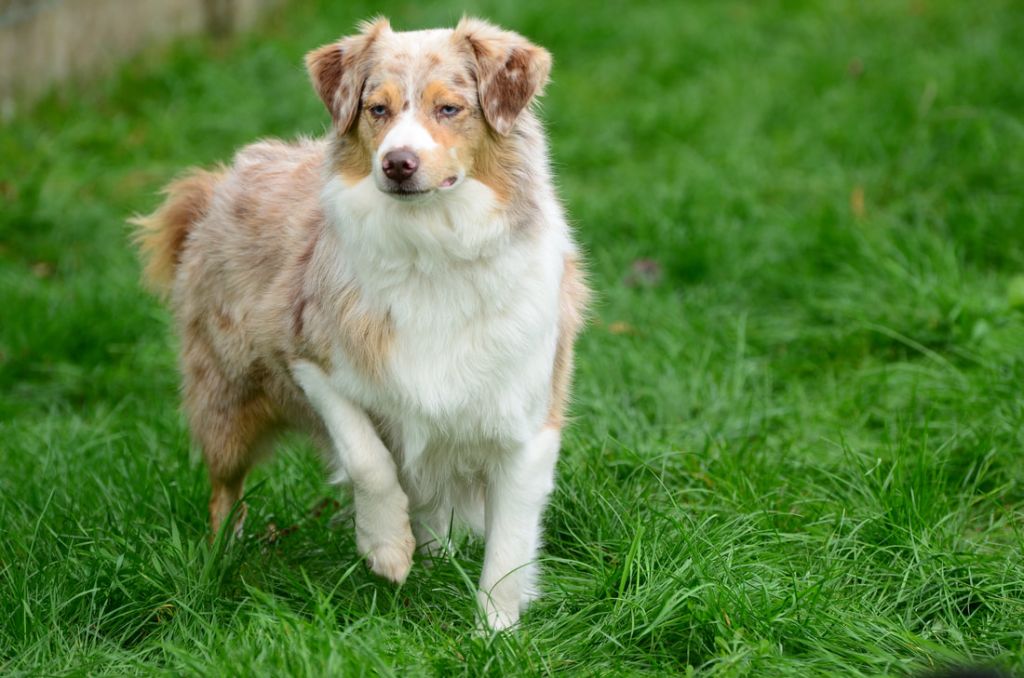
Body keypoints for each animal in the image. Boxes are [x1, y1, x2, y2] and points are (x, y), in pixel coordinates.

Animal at [132, 17, 589, 630]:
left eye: (449, 108)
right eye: (377, 109)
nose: (397, 163)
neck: (432, 249)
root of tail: (219, 182)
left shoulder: (525, 418)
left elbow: (510, 547)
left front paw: (494, 632)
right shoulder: (307, 353)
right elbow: (367, 456)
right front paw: (386, 547)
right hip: (225, 402)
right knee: (224, 490)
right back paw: (218, 563)